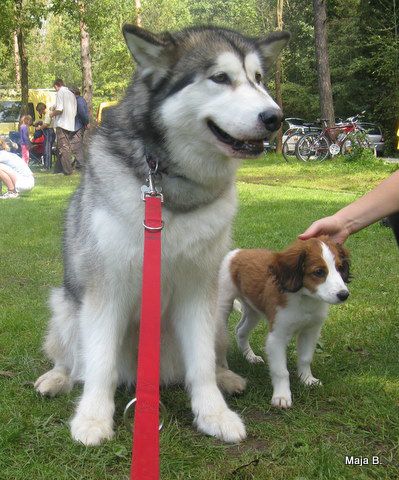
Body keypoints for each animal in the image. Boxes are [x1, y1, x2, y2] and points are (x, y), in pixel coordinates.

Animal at [34, 25, 290, 446]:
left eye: (258, 79)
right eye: (220, 78)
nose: (275, 117)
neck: (170, 187)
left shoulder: (198, 288)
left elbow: (200, 363)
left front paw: (214, 413)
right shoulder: (107, 289)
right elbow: (100, 362)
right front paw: (93, 418)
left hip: (217, 316)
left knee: (213, 355)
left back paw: (226, 377)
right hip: (66, 307)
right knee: (72, 358)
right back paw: (57, 378)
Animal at [217, 236, 352, 408]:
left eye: (340, 268)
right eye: (319, 272)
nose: (344, 295)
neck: (305, 299)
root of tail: (236, 253)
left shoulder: (311, 331)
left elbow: (305, 358)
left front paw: (307, 380)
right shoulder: (277, 337)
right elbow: (281, 371)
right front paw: (282, 396)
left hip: (254, 310)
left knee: (240, 331)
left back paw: (250, 357)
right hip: (222, 307)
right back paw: (223, 366)